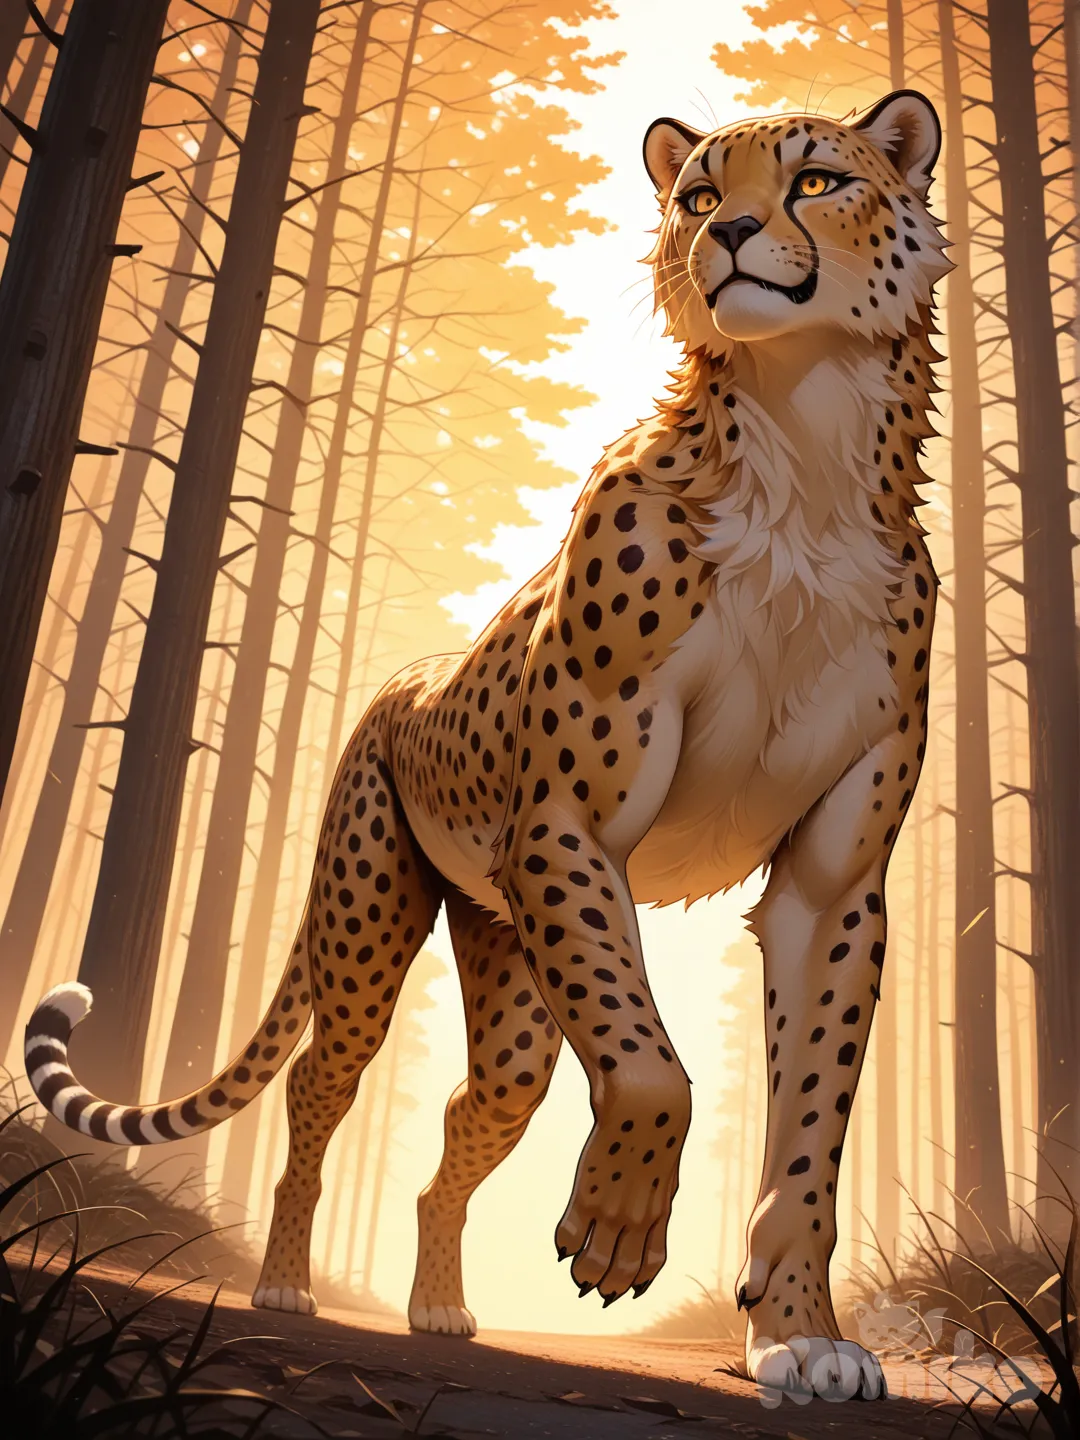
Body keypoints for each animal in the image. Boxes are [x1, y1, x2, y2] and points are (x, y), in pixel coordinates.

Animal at [25, 87, 948, 1401]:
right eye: (699, 195)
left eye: (817, 180)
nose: (725, 237)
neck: (804, 455)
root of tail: (395, 681)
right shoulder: (568, 824)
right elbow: (652, 1065)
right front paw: (618, 1228)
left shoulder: (832, 887)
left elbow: (810, 1133)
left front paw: (802, 1337)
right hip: (376, 930)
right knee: (319, 1086)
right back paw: (285, 1283)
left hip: (515, 974)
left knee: (468, 1122)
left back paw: (437, 1306)